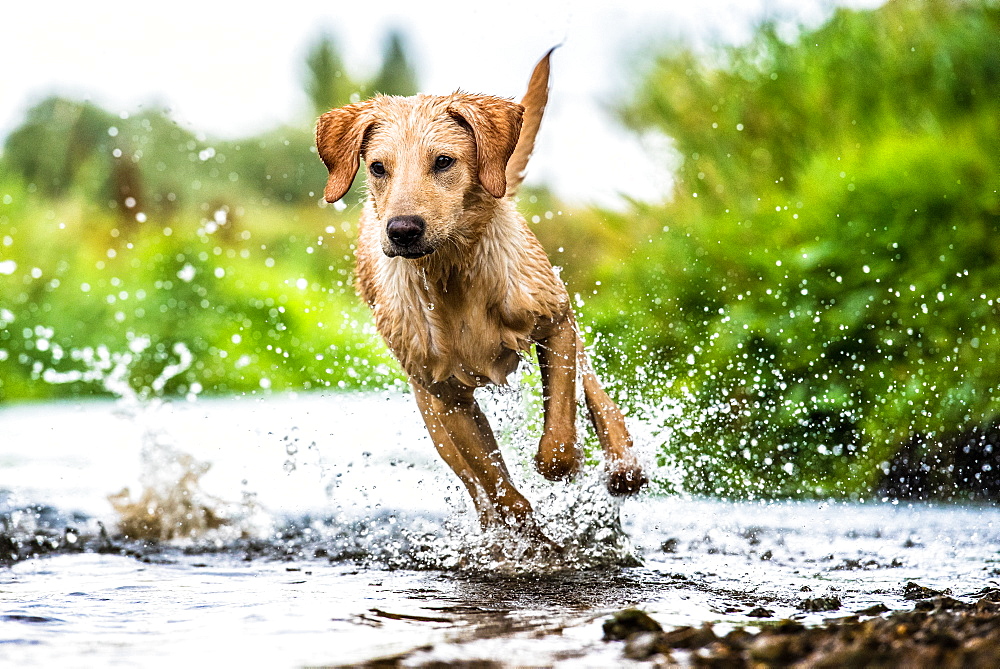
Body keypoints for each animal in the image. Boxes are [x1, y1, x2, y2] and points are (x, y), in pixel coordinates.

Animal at [316, 51, 644, 536]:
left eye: (443, 161)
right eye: (377, 167)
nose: (402, 230)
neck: (454, 274)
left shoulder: (555, 324)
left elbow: (559, 440)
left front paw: (565, 467)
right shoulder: (446, 397)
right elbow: (496, 485)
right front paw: (521, 529)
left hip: (566, 322)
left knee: (597, 398)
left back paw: (624, 467)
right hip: (429, 411)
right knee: (475, 483)